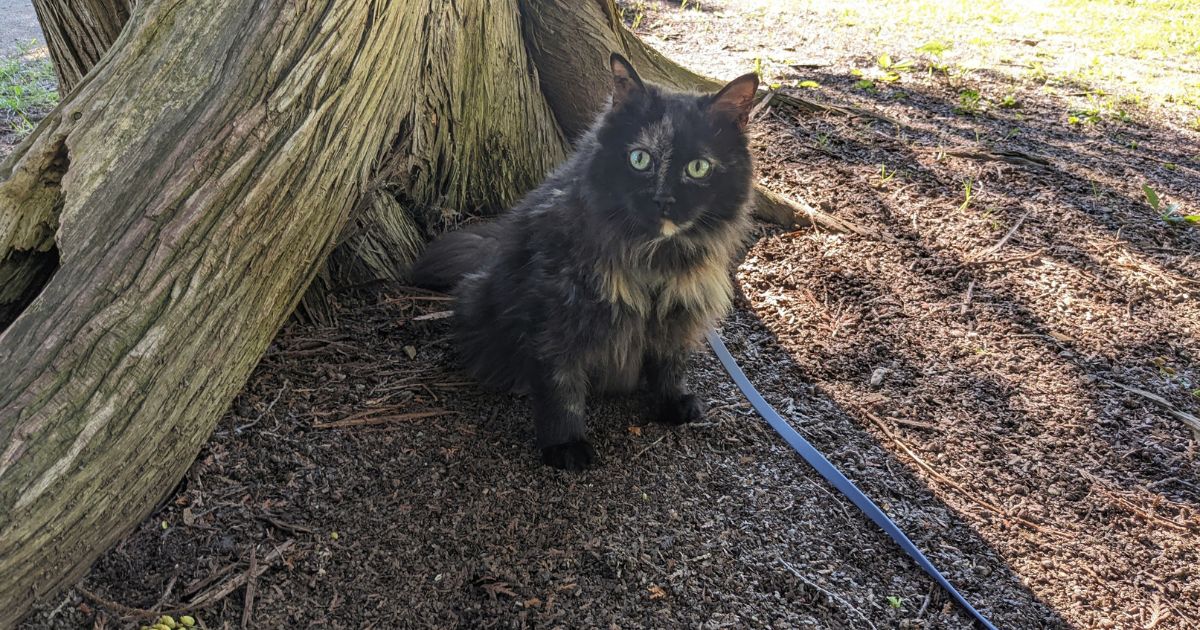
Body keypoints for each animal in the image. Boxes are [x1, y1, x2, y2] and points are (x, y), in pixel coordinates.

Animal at [408, 52, 753, 465]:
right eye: (640, 159)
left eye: (698, 167)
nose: (663, 199)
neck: (652, 259)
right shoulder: (559, 313)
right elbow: (562, 386)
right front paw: (565, 446)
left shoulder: (675, 312)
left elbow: (670, 365)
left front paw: (671, 403)